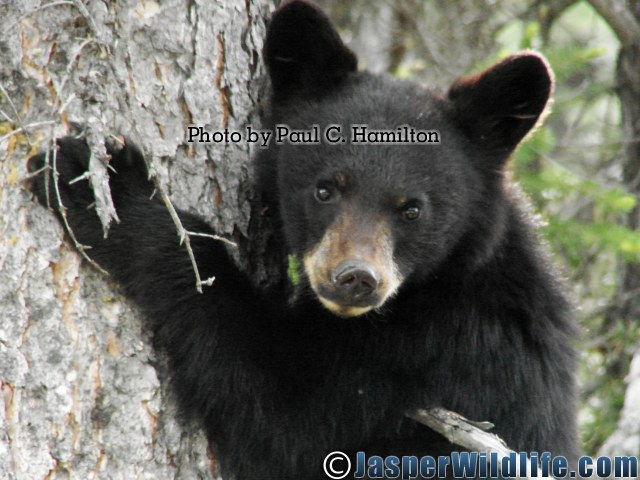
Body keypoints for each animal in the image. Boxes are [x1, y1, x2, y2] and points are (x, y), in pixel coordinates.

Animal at [28, 0, 580, 478]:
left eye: (412, 209)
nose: (356, 278)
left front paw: (101, 185)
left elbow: (281, 418)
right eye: (325, 188)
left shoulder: (436, 358)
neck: (446, 284)